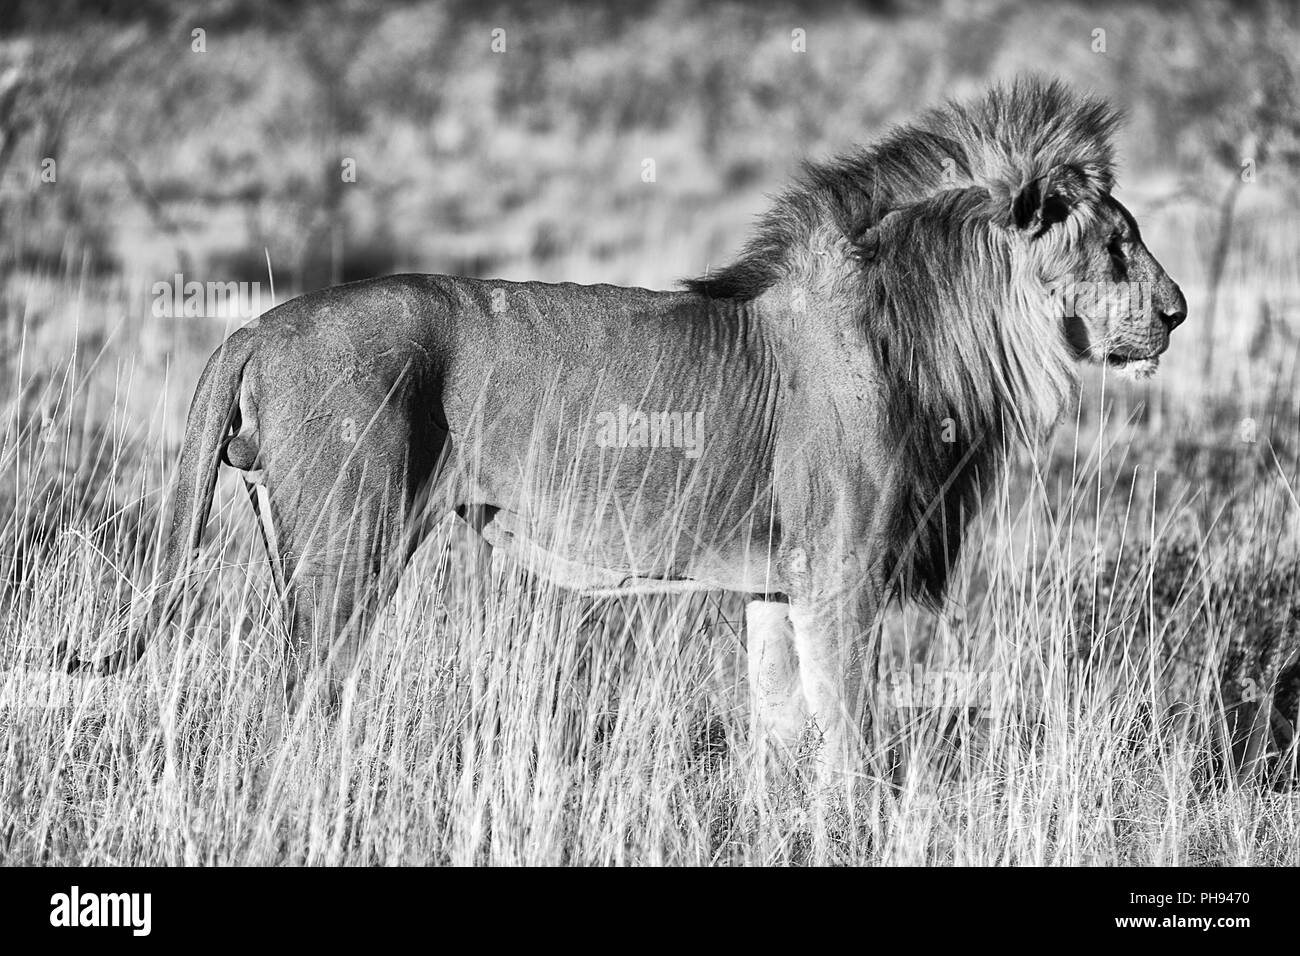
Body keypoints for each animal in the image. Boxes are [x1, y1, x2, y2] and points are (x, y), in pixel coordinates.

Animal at [61, 76, 1185, 785]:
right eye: (1118, 245)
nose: (1177, 312)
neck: (929, 328)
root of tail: (256, 322)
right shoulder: (841, 571)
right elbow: (850, 741)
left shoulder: (775, 583)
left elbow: (782, 731)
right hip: (347, 548)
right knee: (296, 701)